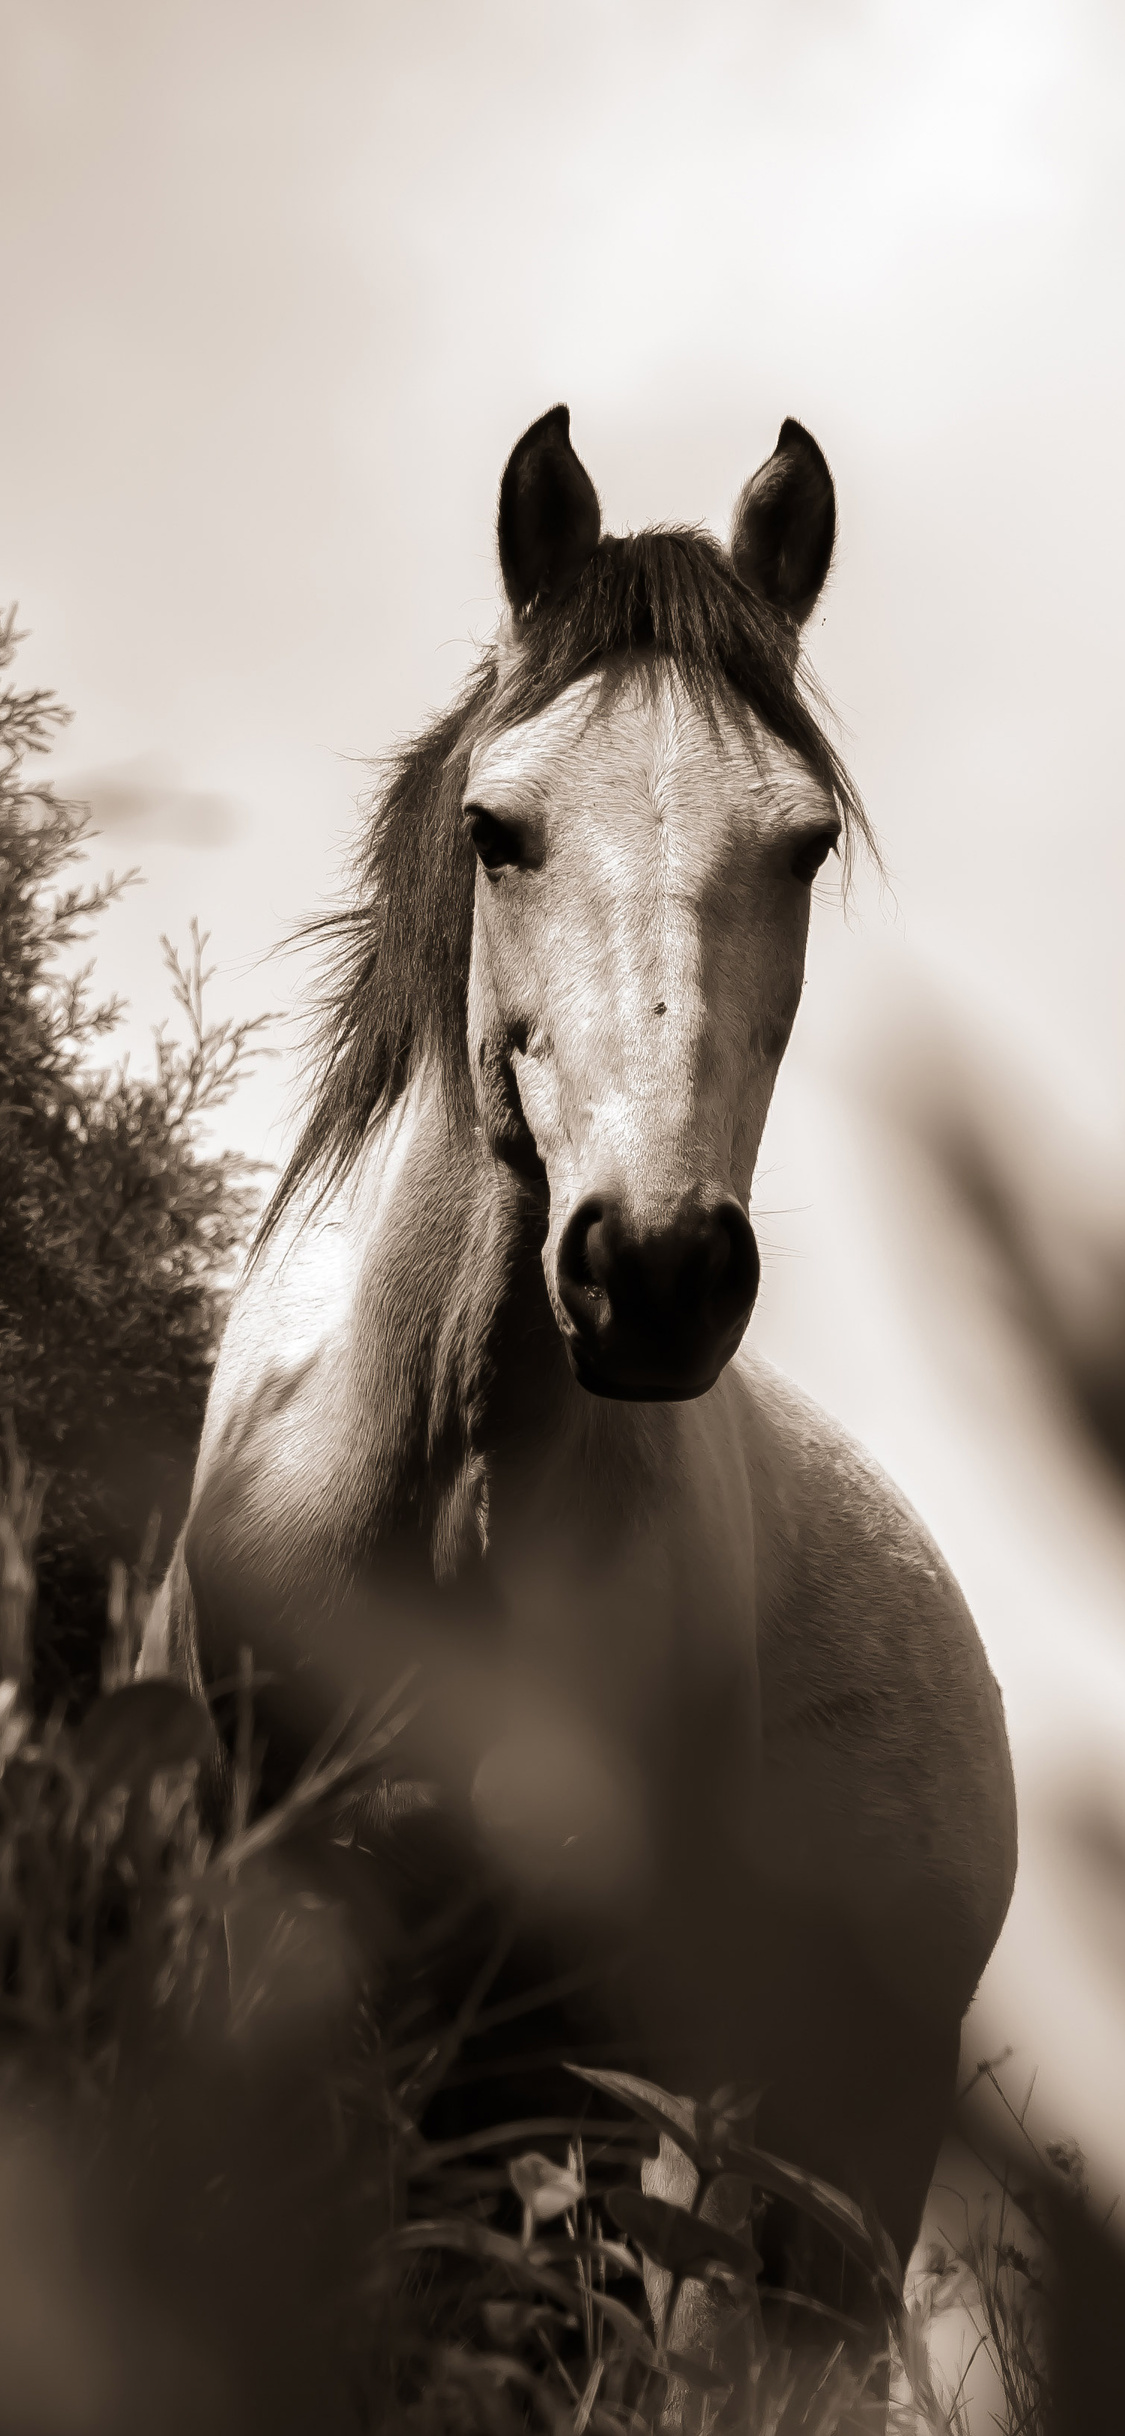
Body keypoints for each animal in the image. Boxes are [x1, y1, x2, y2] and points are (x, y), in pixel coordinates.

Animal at [140, 406, 1017, 2371]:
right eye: (500, 830)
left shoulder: (586, 2050)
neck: (440, 1488)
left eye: (802, 845)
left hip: (829, 2159)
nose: (658, 1270)